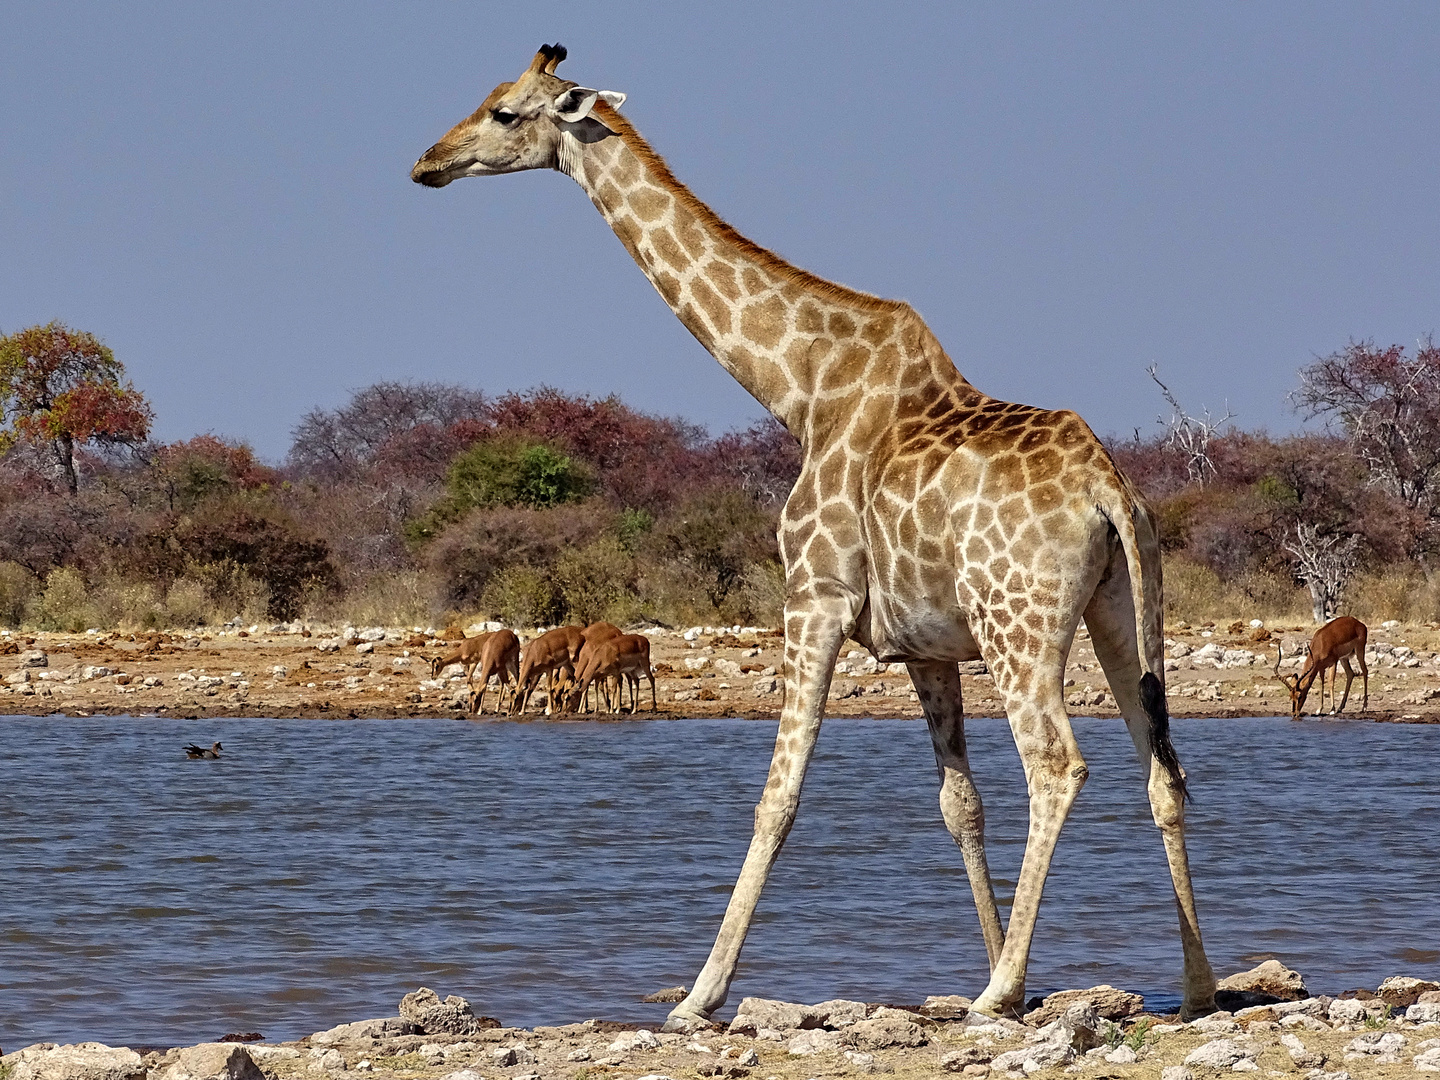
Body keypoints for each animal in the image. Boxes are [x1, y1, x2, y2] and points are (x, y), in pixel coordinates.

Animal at [414, 44, 1215, 1031]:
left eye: (503, 111)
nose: (429, 163)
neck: (797, 388)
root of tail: (1108, 489)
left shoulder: (815, 599)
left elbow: (777, 797)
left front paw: (699, 997)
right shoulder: (926, 645)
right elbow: (959, 803)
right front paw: (1012, 973)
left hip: (1018, 624)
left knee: (1058, 766)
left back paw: (997, 994)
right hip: (1121, 614)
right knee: (1162, 770)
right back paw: (1192, 987)